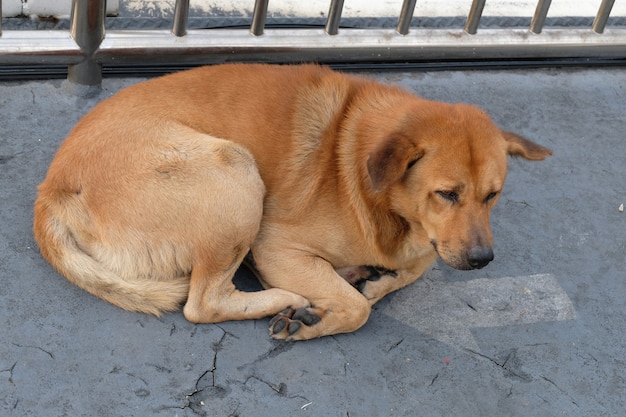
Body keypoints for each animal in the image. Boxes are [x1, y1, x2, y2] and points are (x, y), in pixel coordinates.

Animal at [34, 63, 552, 340]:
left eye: (493, 196)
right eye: (447, 194)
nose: (483, 260)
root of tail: (52, 189)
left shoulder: (428, 248)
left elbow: (409, 271)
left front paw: (372, 280)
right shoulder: (277, 246)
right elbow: (359, 310)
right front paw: (318, 317)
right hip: (236, 172)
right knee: (203, 303)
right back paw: (285, 299)